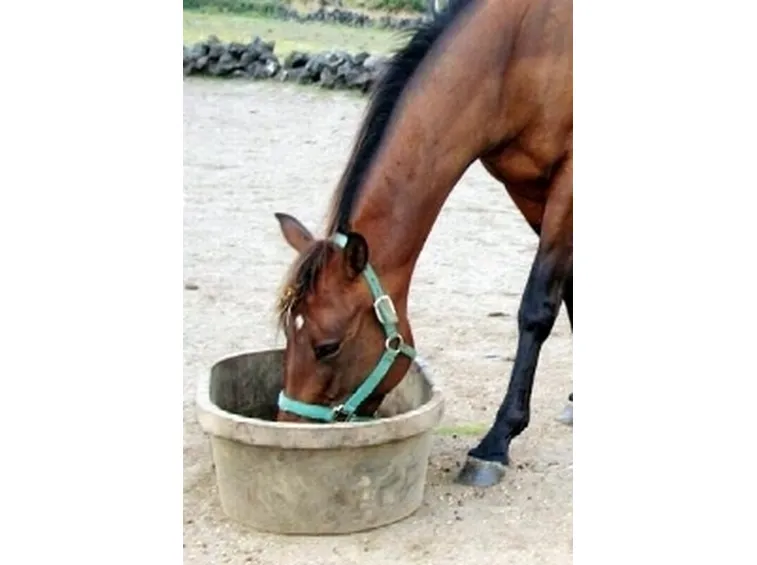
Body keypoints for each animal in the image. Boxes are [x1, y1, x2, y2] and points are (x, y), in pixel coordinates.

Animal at [273, 0, 572, 488]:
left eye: (327, 346)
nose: (290, 434)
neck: (520, 48)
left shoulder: (568, 181)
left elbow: (538, 308)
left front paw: (495, 442)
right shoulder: (526, 185)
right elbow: (571, 294)